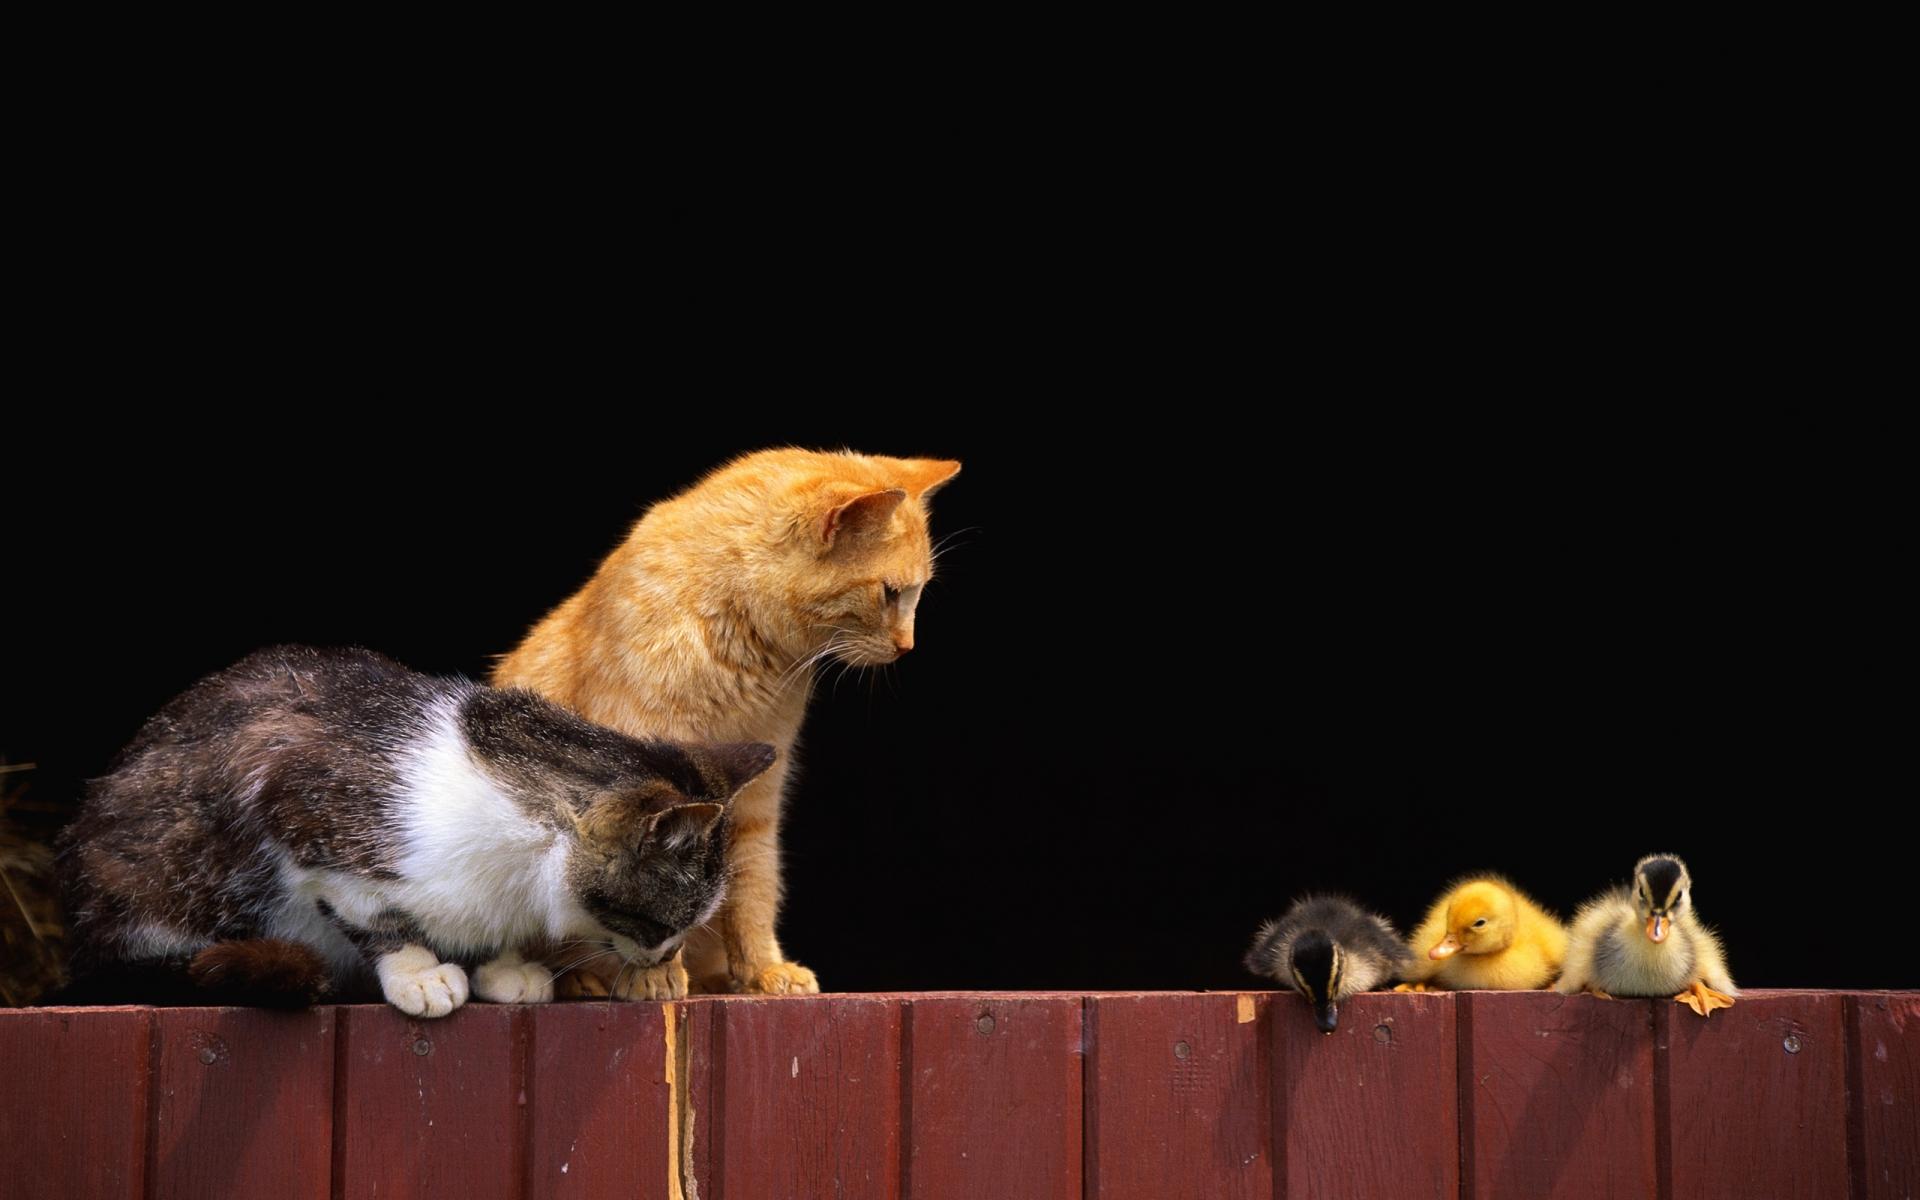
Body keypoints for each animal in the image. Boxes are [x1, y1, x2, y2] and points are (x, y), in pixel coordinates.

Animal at [60, 645, 779, 1013]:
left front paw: (502, 965)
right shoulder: (299, 804)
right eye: (663, 923)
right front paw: (420, 973)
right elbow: (372, 914)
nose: (662, 958)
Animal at [495, 447, 960, 990]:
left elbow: (753, 887)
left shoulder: (757, 799)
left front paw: (762, 969)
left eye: (916, 593)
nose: (908, 646)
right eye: (890, 593)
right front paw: (652, 976)